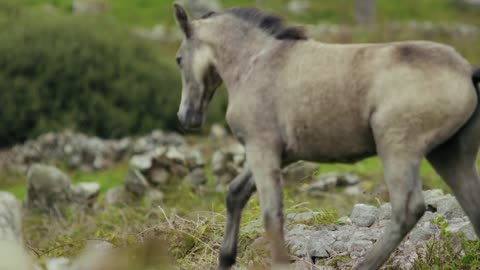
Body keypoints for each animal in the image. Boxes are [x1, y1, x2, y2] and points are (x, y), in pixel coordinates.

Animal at [174, 4, 480, 270]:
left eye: (178, 59)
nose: (185, 116)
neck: (255, 62)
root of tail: (466, 70)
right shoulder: (279, 155)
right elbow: (236, 192)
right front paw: (225, 259)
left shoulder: (261, 147)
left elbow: (272, 215)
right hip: (449, 154)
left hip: (398, 148)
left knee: (407, 209)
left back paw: (364, 265)